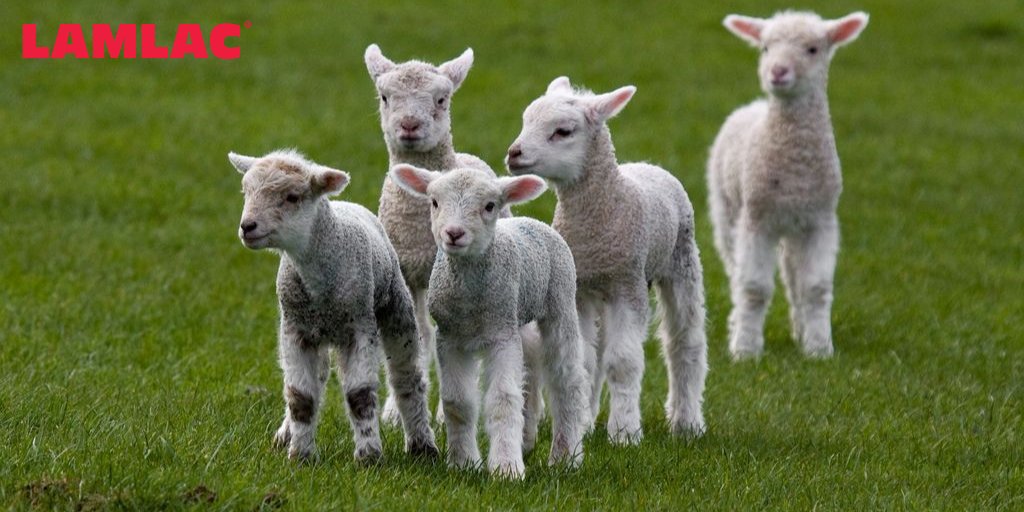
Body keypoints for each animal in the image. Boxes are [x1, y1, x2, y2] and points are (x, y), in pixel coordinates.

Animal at [228, 149, 437, 463]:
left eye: (292, 197)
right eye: (246, 191)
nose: (247, 227)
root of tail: (347, 203)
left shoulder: (359, 328)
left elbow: (360, 395)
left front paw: (369, 456)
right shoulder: (295, 330)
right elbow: (300, 396)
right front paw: (300, 455)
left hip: (396, 308)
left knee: (407, 378)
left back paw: (422, 445)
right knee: (319, 377)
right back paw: (286, 434)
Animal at [364, 44, 513, 425]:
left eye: (442, 99)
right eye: (384, 97)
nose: (409, 124)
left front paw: (447, 414)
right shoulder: (405, 273)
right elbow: (414, 335)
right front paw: (393, 412)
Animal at [388, 164, 590, 479]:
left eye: (489, 206)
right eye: (434, 202)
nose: (454, 233)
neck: (470, 302)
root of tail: (530, 219)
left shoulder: (500, 335)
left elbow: (503, 400)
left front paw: (506, 469)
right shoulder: (451, 338)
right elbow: (457, 402)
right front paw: (463, 463)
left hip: (560, 300)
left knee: (566, 381)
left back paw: (565, 456)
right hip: (518, 317)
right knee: (531, 369)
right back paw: (527, 441)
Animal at [506, 77, 708, 443]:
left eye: (563, 131)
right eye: (526, 121)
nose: (514, 154)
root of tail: (646, 164)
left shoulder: (627, 286)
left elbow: (623, 362)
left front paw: (624, 432)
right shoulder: (582, 290)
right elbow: (586, 361)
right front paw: (584, 425)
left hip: (681, 261)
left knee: (684, 342)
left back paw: (687, 421)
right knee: (599, 351)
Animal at [708, 11, 869, 360]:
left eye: (812, 49)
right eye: (765, 48)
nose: (777, 72)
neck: (794, 167)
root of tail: (753, 105)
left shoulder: (821, 221)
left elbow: (815, 287)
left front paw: (819, 348)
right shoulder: (756, 219)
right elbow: (753, 287)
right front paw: (746, 350)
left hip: (795, 227)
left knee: (793, 275)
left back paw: (799, 329)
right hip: (727, 210)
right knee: (735, 271)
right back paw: (737, 325)